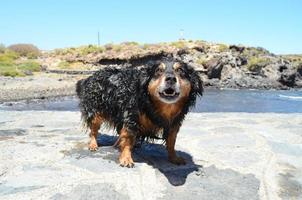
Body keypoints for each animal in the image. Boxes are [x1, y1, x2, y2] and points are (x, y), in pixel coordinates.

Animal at [75, 56, 203, 167]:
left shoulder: (175, 122)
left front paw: (174, 157)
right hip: (95, 112)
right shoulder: (131, 117)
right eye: (158, 71)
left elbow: (171, 141)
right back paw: (93, 144)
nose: (171, 78)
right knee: (93, 130)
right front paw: (126, 158)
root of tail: (90, 77)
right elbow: (128, 138)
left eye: (180, 70)